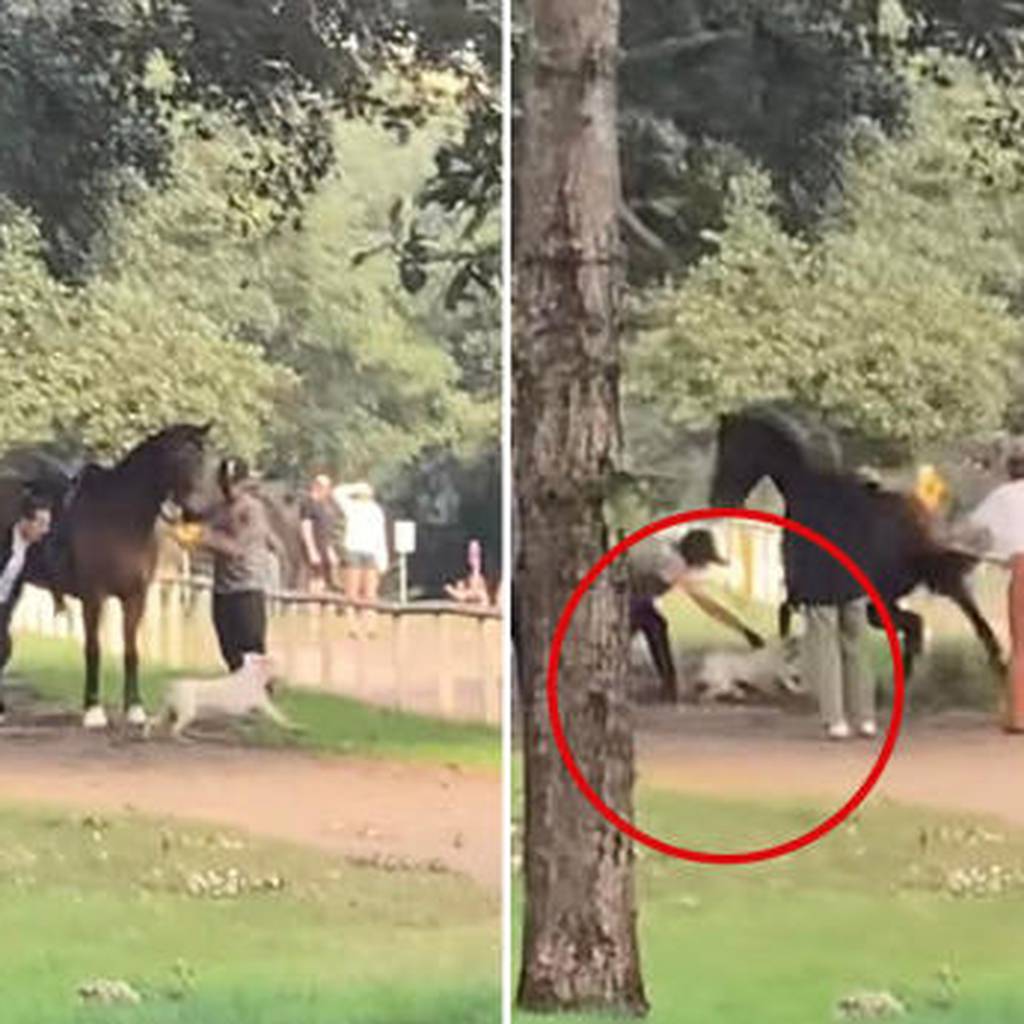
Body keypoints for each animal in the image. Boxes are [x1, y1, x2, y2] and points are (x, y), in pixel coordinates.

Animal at [0, 423, 216, 729]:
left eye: (205, 457)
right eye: (181, 457)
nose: (199, 510)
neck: (119, 517)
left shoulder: (136, 598)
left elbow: (131, 650)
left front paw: (134, 709)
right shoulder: (94, 597)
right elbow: (93, 649)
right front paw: (93, 711)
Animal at [151, 651, 299, 741]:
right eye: (275, 662)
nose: (286, 675)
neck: (252, 675)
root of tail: (173, 686)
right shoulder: (258, 704)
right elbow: (278, 716)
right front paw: (293, 726)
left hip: (176, 711)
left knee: (155, 722)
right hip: (188, 713)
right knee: (174, 729)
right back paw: (185, 740)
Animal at [708, 403, 1003, 675]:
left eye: (730, 450)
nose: (719, 499)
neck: (807, 490)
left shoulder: (806, 590)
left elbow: (785, 617)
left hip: (894, 594)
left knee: (928, 626)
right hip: (917, 588)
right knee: (939, 624)